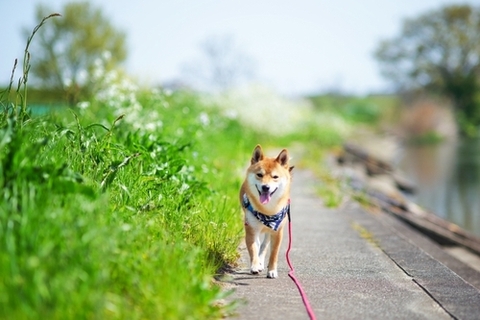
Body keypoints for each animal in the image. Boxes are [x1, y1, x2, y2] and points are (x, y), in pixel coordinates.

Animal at [239, 145, 292, 278]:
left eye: (275, 177)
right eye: (259, 175)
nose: (265, 187)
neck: (267, 211)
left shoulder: (277, 232)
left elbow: (273, 254)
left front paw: (272, 270)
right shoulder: (251, 229)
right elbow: (253, 249)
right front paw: (254, 266)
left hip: (270, 231)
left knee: (264, 246)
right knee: (259, 245)